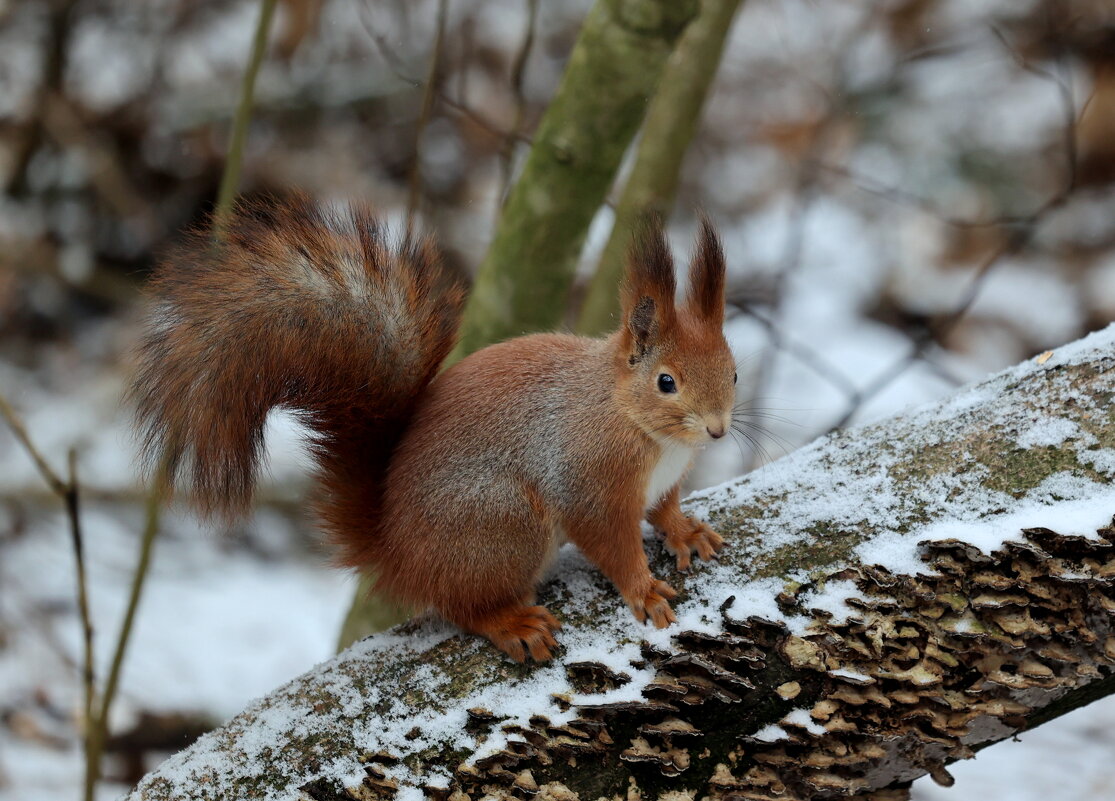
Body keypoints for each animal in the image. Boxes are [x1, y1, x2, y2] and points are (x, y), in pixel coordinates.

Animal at [130, 192, 735, 660]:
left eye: (732, 369)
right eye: (665, 382)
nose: (718, 431)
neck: (640, 426)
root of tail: (396, 553)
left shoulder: (664, 481)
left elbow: (664, 508)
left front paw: (686, 532)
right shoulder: (591, 479)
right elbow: (610, 542)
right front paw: (643, 590)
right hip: (503, 525)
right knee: (462, 606)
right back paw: (510, 623)